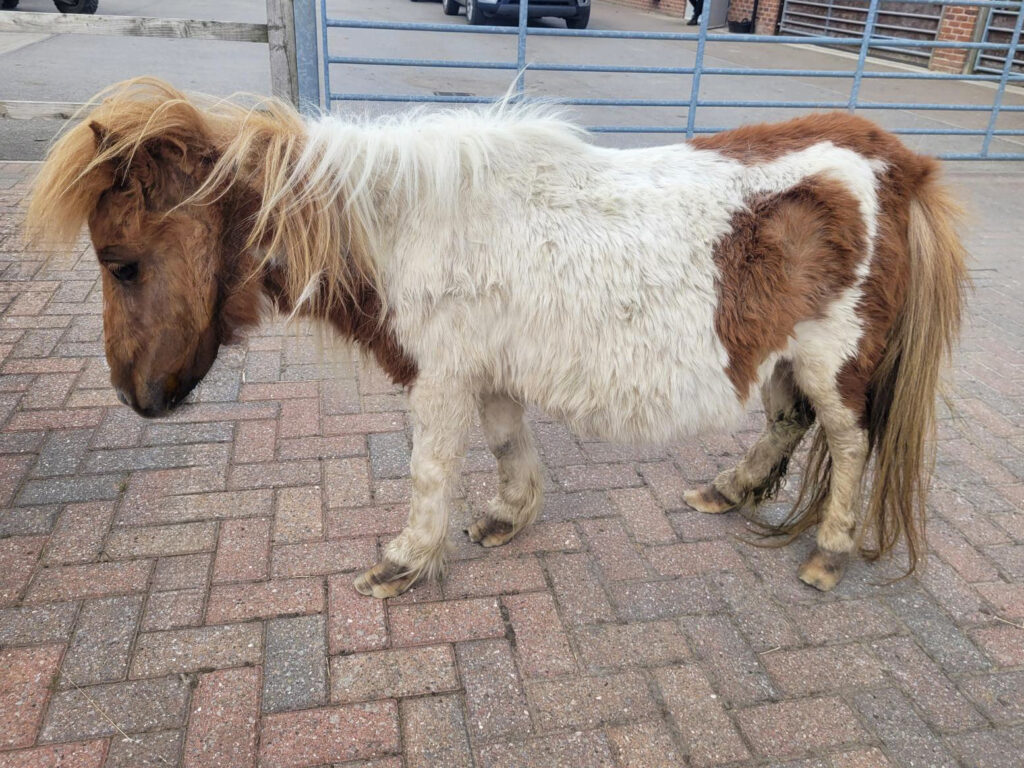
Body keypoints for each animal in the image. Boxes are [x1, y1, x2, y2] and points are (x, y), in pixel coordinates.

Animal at [26, 77, 968, 598]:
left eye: (121, 263)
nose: (134, 397)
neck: (403, 226)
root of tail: (898, 163)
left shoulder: (441, 377)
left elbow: (430, 470)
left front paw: (405, 562)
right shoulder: (490, 372)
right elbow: (510, 441)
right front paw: (510, 517)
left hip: (834, 362)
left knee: (849, 444)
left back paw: (829, 552)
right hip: (780, 352)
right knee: (786, 422)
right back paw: (728, 492)